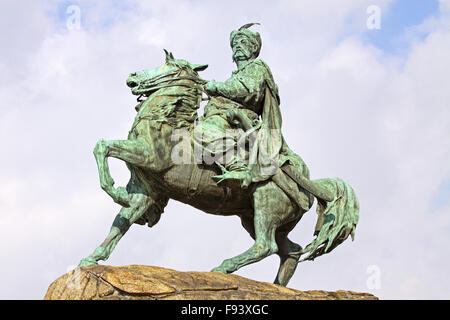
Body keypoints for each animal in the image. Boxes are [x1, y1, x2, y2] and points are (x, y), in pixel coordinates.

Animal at [77, 51, 358, 286]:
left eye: (167, 64)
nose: (132, 76)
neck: (166, 123)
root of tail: (309, 182)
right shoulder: (146, 190)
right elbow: (120, 223)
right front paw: (92, 257)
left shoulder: (148, 156)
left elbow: (102, 146)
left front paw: (114, 191)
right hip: (253, 217)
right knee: (289, 251)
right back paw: (277, 286)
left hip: (265, 205)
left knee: (266, 246)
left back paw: (224, 267)